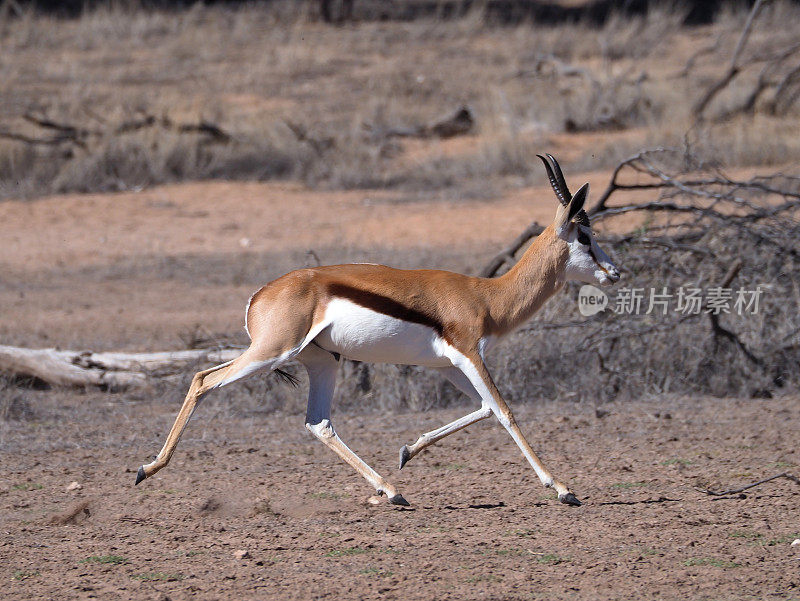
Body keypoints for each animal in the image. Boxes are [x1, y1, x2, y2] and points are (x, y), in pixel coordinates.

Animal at [134, 154, 620, 506]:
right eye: (584, 237)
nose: (615, 272)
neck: (486, 296)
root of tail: (259, 296)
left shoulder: (448, 366)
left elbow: (483, 408)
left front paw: (408, 451)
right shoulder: (468, 353)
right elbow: (504, 411)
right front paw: (564, 489)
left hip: (322, 361)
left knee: (319, 422)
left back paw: (391, 491)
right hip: (272, 351)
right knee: (203, 379)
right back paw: (147, 469)